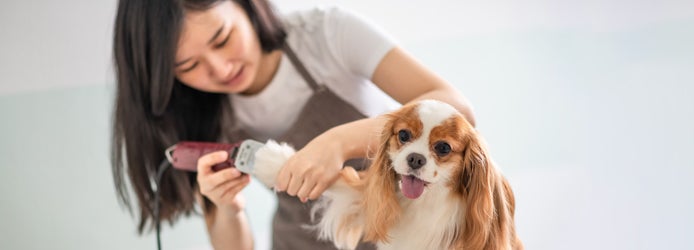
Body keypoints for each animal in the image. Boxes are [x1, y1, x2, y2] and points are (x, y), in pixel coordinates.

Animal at [254, 98, 520, 249]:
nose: (415, 158)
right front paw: (274, 162)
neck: (425, 202)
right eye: (403, 135)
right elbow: (344, 185)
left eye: (443, 147)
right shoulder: (367, 198)